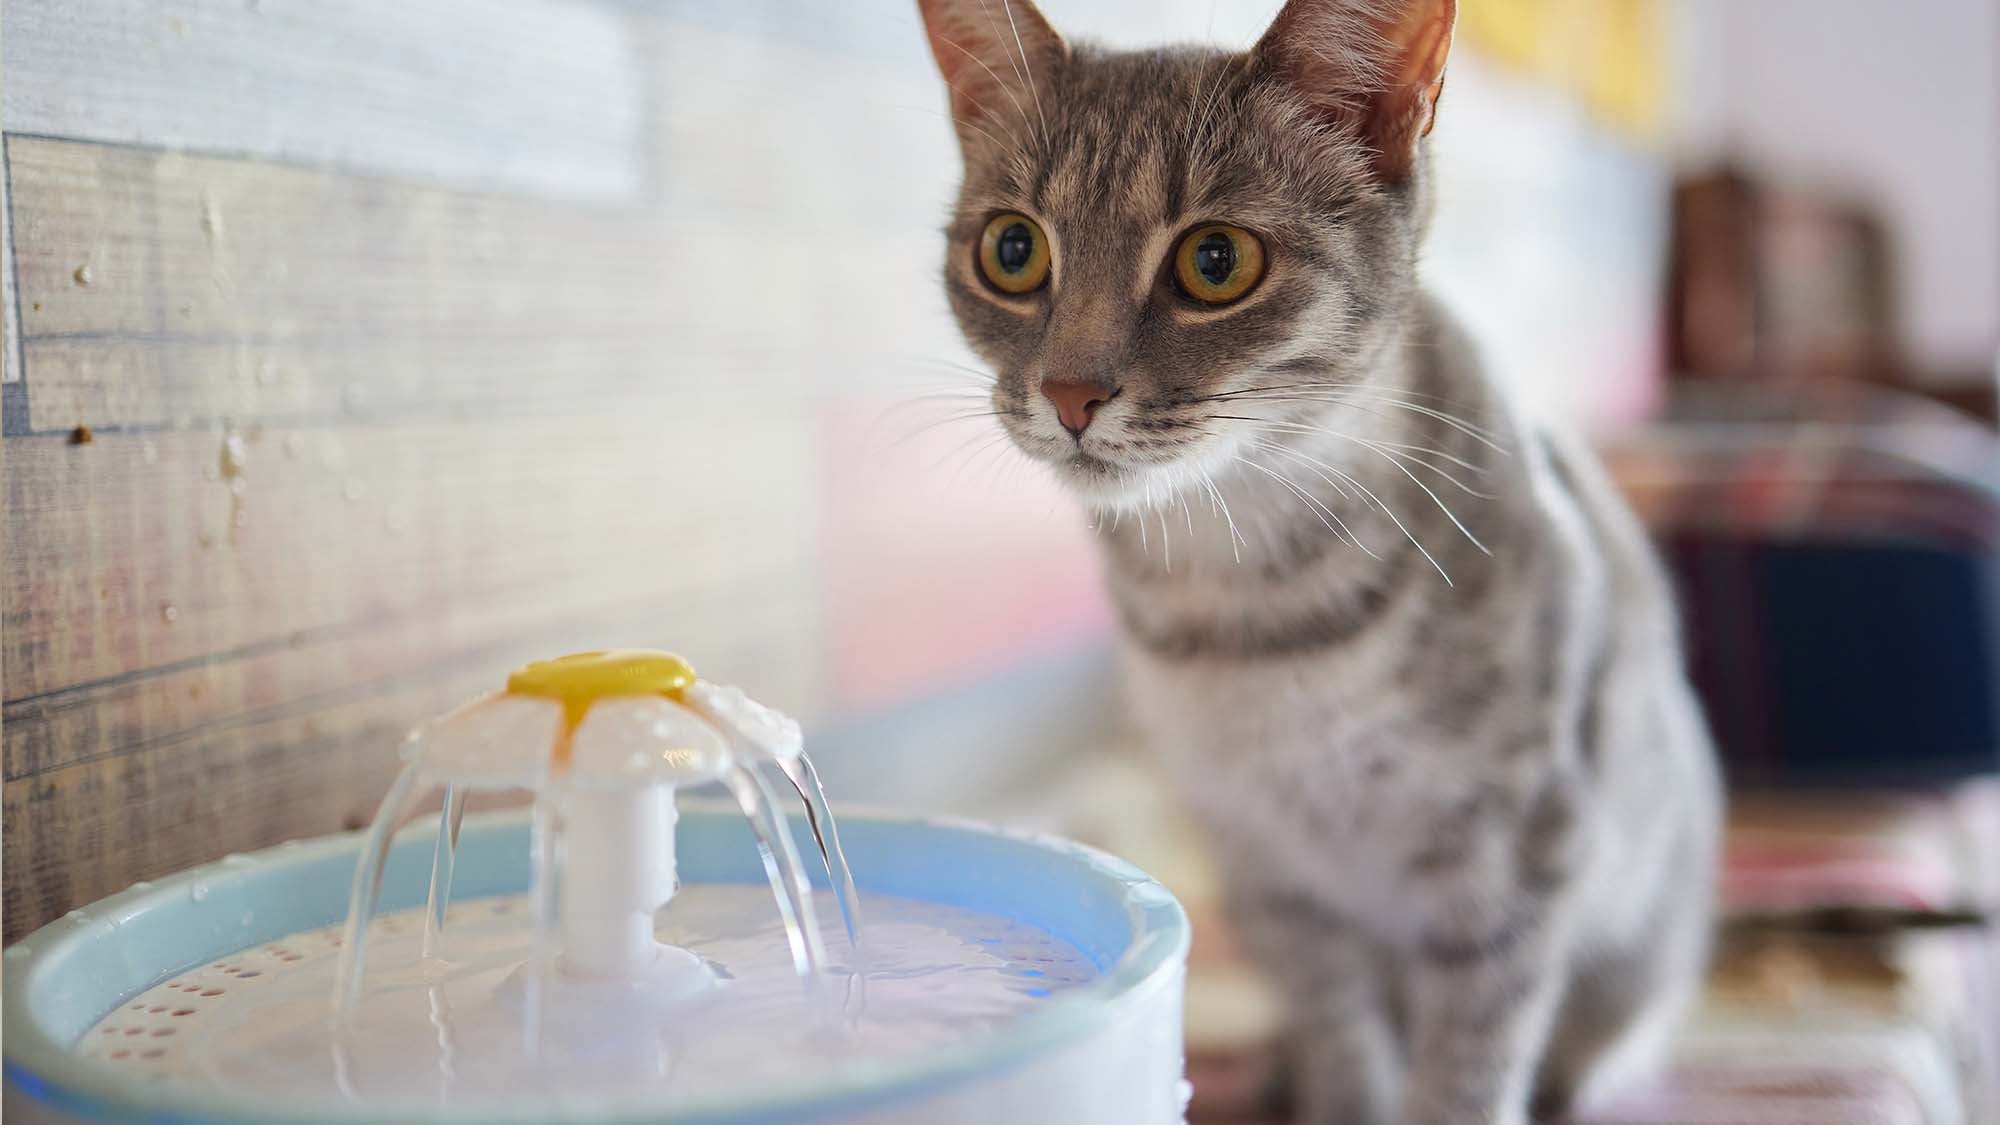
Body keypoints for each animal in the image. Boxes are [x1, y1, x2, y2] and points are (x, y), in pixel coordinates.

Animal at [916, 2, 1728, 1120]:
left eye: (1215, 261)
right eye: (1011, 248)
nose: (1070, 392)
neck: (1249, 591)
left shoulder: (1514, 854)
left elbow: (1469, 1062)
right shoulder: (1274, 876)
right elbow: (1344, 1037)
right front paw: (1340, 1089)